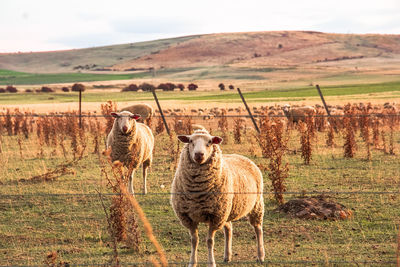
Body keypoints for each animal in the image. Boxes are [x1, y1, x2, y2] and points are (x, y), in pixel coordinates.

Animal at [170, 129, 264, 266]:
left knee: (258, 229)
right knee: (229, 229)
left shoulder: (215, 217)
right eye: (191, 141)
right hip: (226, 209)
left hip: (256, 204)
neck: (197, 193)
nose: (199, 154)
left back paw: (260, 256)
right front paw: (192, 262)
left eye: (209, 142)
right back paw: (227, 256)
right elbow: (194, 240)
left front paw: (211, 263)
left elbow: (209, 241)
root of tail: (240, 156)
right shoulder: (189, 217)